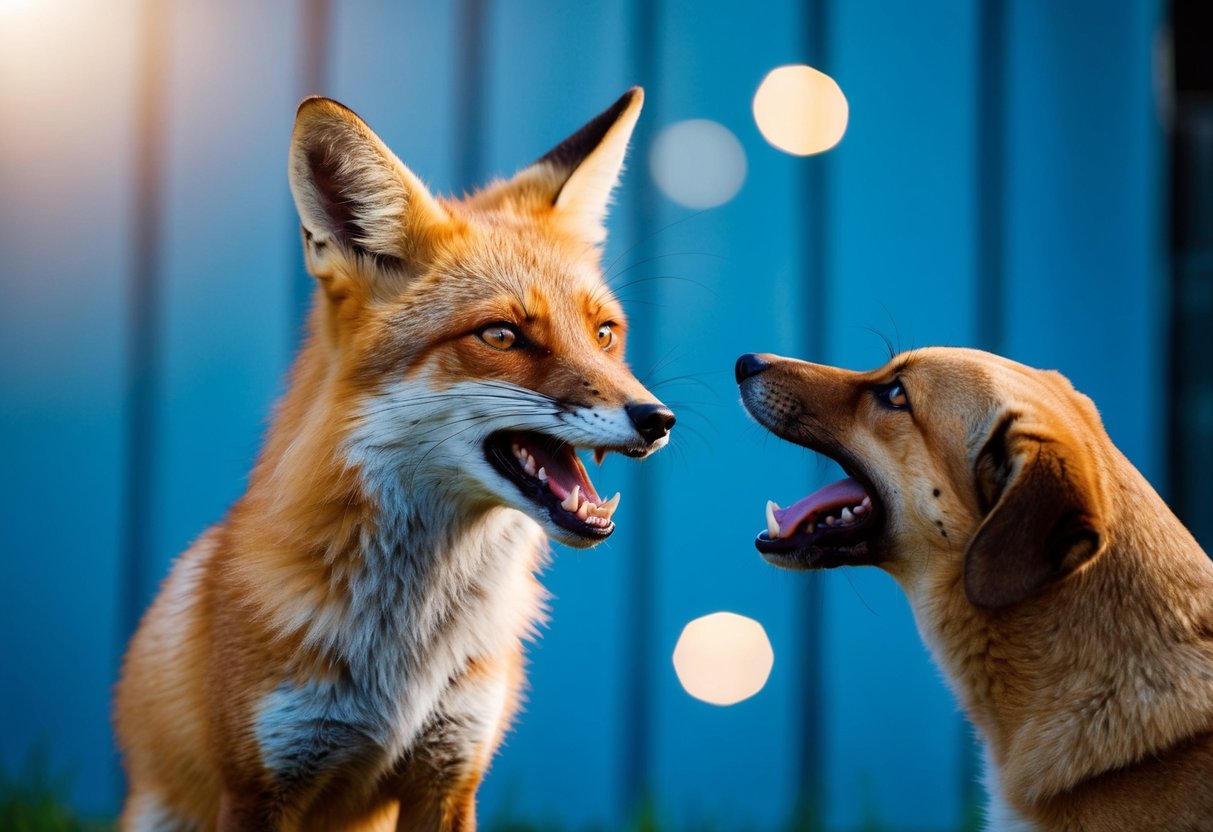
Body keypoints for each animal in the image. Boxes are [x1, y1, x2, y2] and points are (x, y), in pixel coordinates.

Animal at [114, 87, 674, 831]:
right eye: (501, 335)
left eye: (605, 333)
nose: (658, 419)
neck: (406, 652)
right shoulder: (262, 783)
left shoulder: (450, 772)